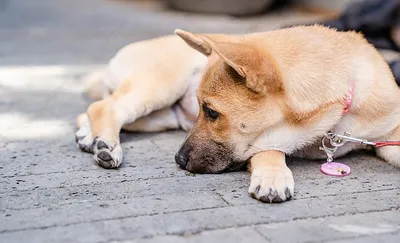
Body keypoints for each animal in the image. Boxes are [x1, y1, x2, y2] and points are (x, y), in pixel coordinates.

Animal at [76, 25, 400, 203]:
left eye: (211, 112)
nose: (178, 160)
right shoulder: (266, 140)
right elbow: (270, 152)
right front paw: (273, 177)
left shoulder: (390, 133)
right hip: (159, 86)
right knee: (105, 105)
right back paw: (106, 146)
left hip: (162, 117)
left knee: (93, 109)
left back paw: (88, 135)